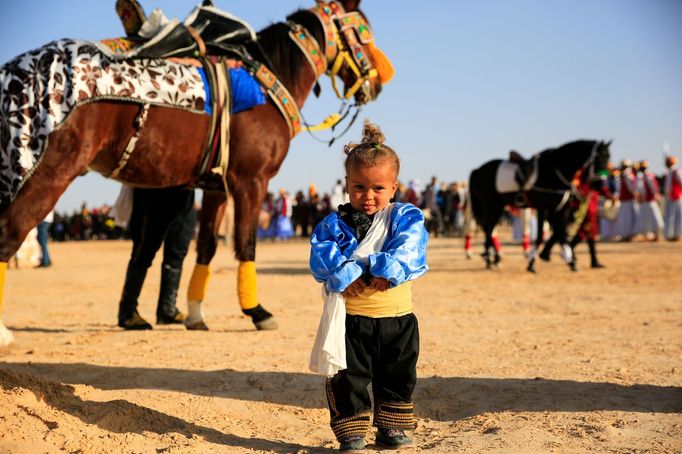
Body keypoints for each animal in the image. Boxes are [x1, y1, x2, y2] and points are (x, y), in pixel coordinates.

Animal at [0, 0, 394, 342]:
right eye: (365, 33)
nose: (378, 82)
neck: (265, 77)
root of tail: (18, 70)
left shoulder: (216, 188)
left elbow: (206, 246)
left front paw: (194, 313)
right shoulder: (250, 180)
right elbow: (246, 243)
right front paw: (257, 311)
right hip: (52, 168)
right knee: (11, 231)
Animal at [468, 140, 612, 272]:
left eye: (608, 159)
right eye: (599, 159)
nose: (600, 185)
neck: (554, 170)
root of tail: (477, 170)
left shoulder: (561, 209)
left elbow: (562, 233)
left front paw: (571, 261)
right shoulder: (543, 207)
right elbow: (541, 236)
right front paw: (532, 264)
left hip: (498, 206)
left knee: (489, 228)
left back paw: (492, 260)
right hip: (490, 205)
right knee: (488, 229)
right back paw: (492, 259)